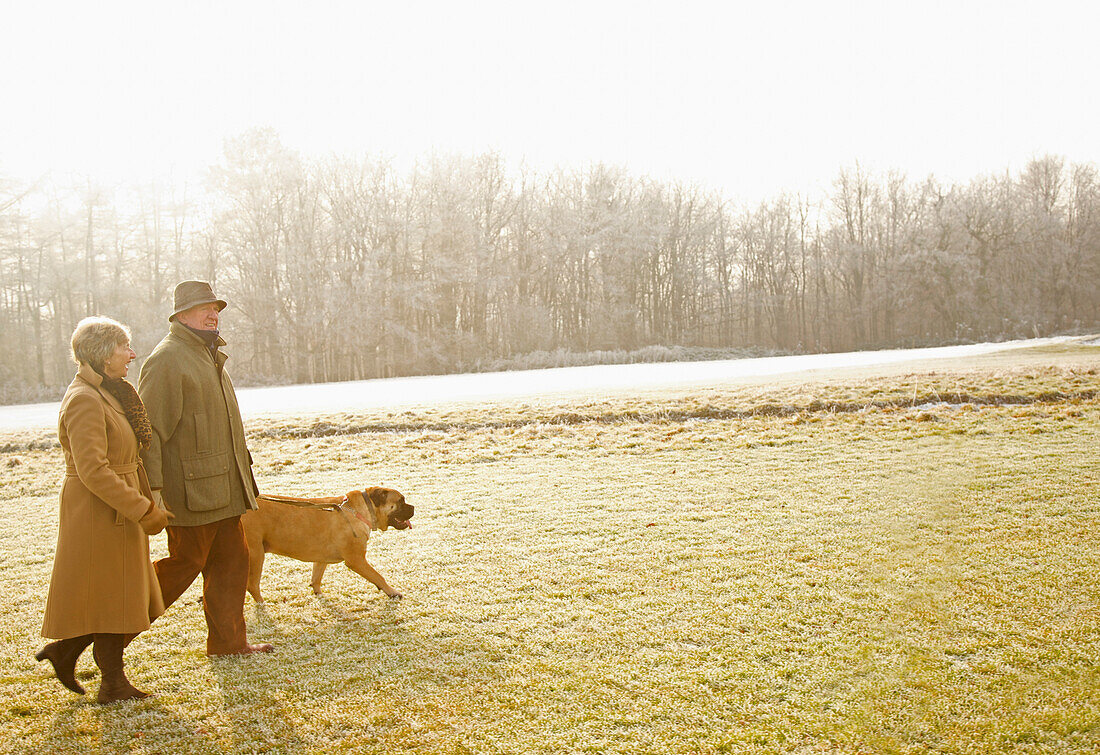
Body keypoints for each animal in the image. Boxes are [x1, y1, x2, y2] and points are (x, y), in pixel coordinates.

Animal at [243, 488, 413, 607]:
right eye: (401, 501)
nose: (413, 507)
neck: (358, 510)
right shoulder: (356, 560)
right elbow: (378, 576)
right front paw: (392, 592)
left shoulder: (321, 558)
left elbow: (316, 578)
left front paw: (318, 593)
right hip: (256, 553)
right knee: (252, 585)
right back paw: (262, 604)